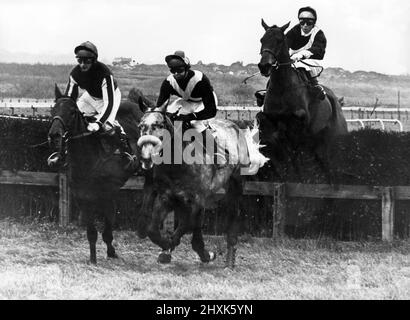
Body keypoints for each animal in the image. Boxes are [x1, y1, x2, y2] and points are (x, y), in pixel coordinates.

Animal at [47, 84, 144, 264]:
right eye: (53, 109)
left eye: (72, 111)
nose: (54, 136)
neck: (89, 157)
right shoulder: (82, 195)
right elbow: (91, 231)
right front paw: (93, 257)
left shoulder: (107, 193)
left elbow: (108, 223)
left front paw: (111, 251)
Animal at [132, 91, 270, 268]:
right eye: (141, 126)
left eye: (159, 125)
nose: (146, 158)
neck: (178, 164)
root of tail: (235, 126)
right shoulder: (167, 197)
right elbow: (153, 230)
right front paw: (167, 248)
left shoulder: (196, 199)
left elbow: (188, 224)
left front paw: (172, 245)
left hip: (235, 185)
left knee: (232, 214)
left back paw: (229, 259)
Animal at [256, 18, 346, 181]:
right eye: (262, 40)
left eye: (279, 40)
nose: (264, 65)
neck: (282, 88)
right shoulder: (273, 119)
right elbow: (264, 122)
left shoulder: (300, 124)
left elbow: (295, 152)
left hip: (334, 135)